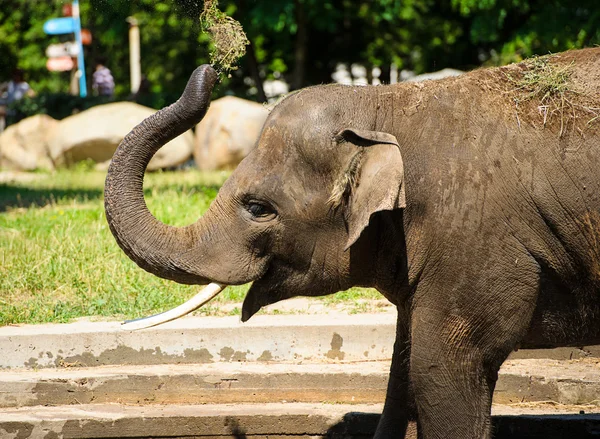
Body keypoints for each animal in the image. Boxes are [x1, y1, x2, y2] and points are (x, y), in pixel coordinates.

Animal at [105, 48, 600, 439]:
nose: (211, 69)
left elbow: (439, 369)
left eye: (258, 207)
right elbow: (405, 368)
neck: (385, 105)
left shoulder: (471, 240)